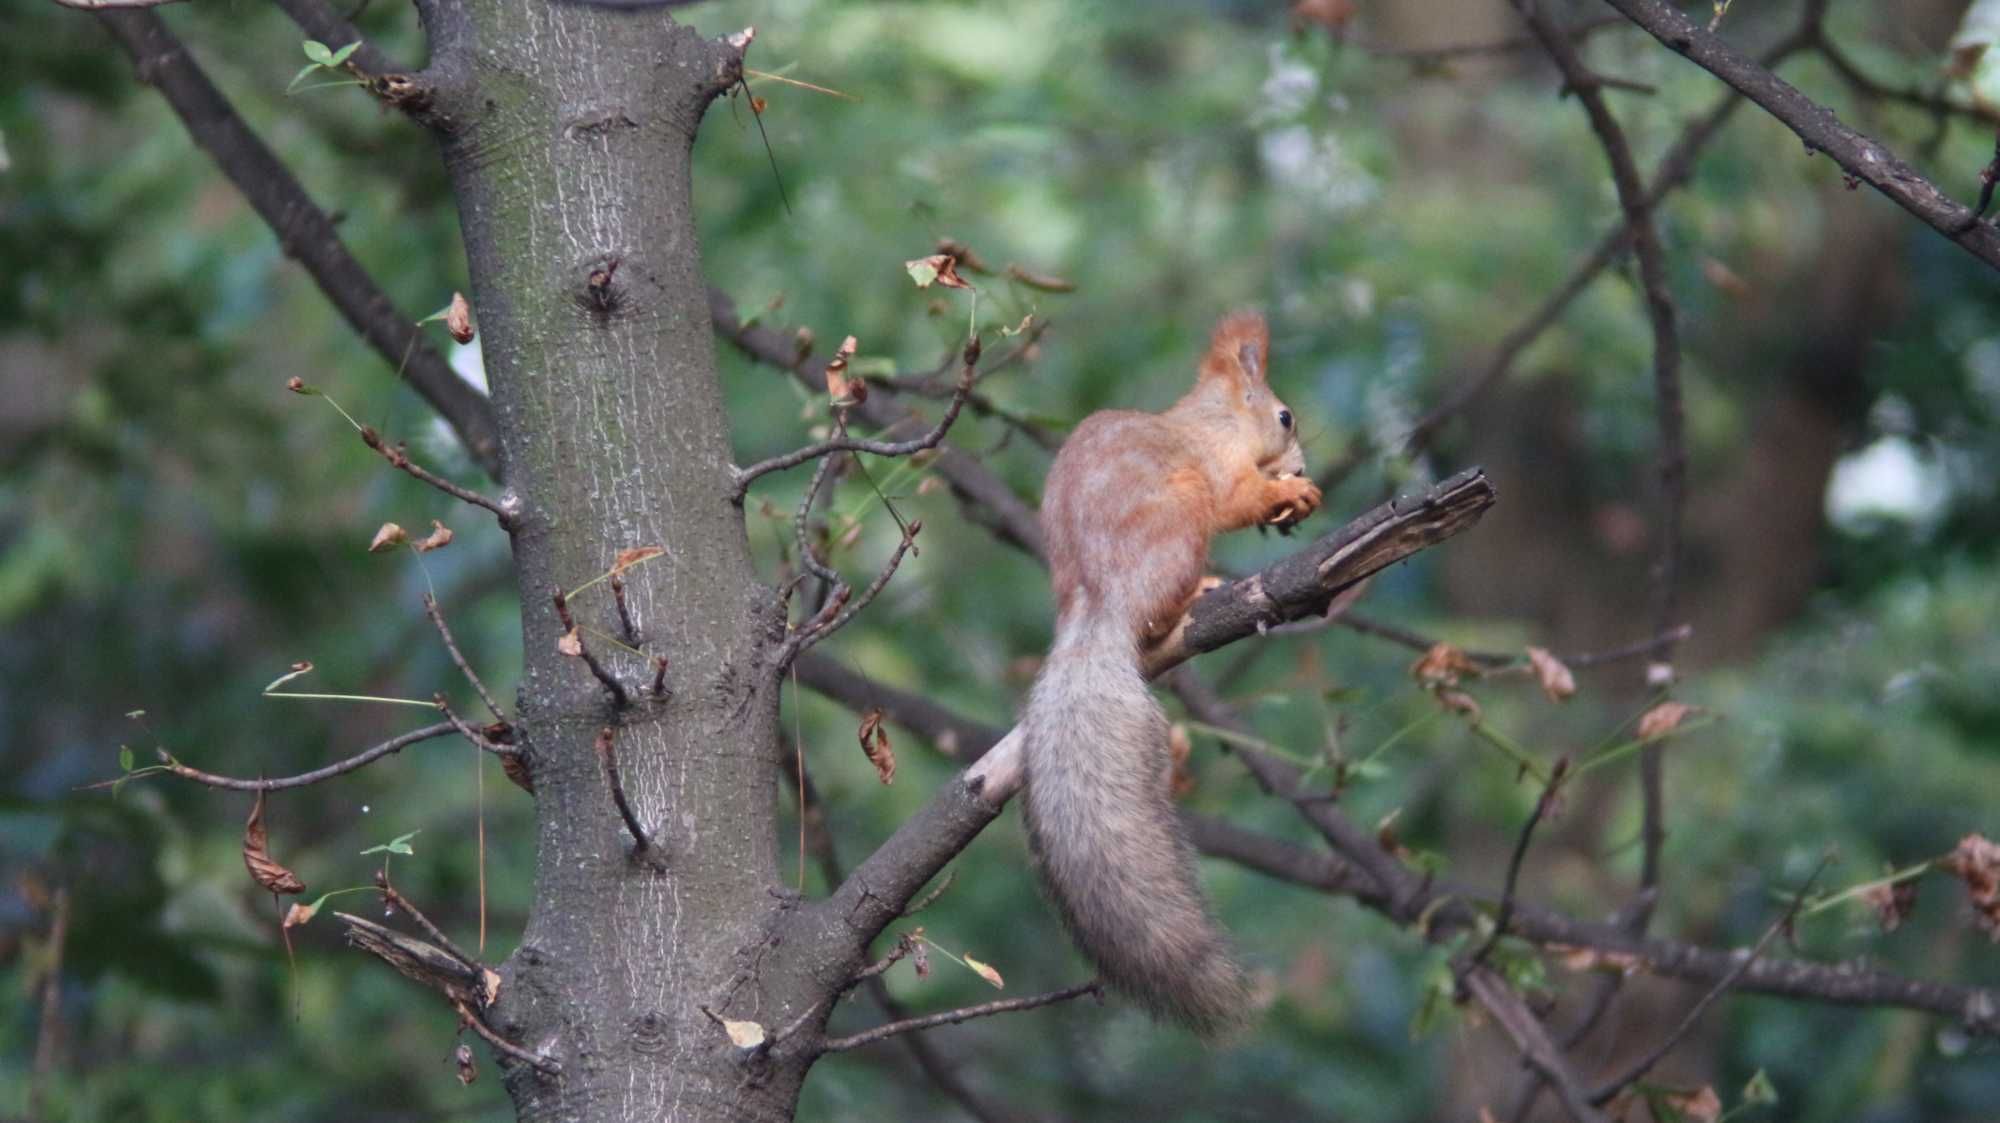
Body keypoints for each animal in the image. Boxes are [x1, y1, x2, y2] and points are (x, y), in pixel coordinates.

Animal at [1024, 307, 1320, 1031]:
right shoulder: (1222, 466)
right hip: (1184, 515)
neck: (1213, 413)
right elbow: (1241, 496)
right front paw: (1291, 491)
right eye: (1286, 417)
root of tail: (1099, 603)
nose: (1303, 462)